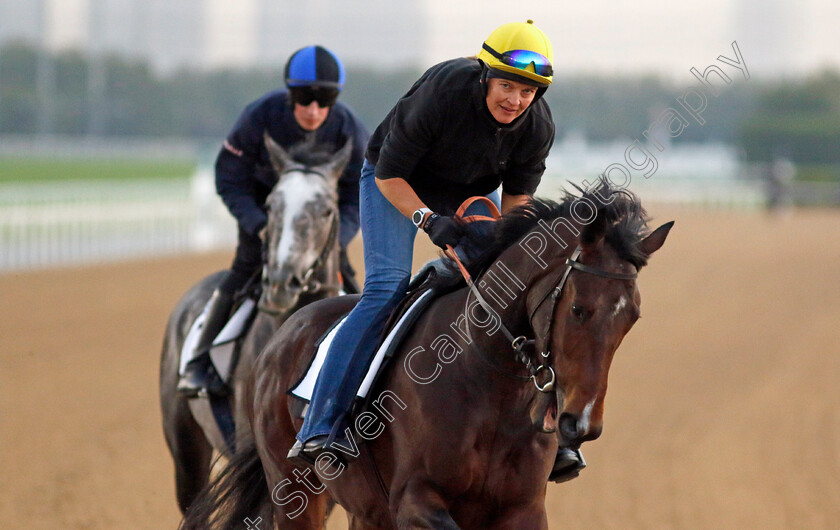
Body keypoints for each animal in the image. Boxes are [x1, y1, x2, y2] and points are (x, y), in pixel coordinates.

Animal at [180, 178, 672, 528]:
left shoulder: (523, 508)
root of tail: (284, 332)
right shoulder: (414, 500)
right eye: (578, 309)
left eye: (631, 319)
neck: (490, 382)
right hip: (294, 493)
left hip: (363, 509)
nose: (580, 422)